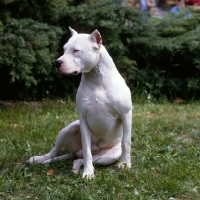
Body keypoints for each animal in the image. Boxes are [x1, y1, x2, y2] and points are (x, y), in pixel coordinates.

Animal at [27, 27, 132, 179]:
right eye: (64, 49)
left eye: (76, 50)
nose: (57, 62)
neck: (97, 79)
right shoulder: (83, 119)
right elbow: (87, 149)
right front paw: (88, 172)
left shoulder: (126, 115)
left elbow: (126, 142)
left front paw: (125, 164)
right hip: (67, 130)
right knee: (57, 152)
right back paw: (40, 159)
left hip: (107, 157)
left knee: (78, 159)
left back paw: (75, 167)